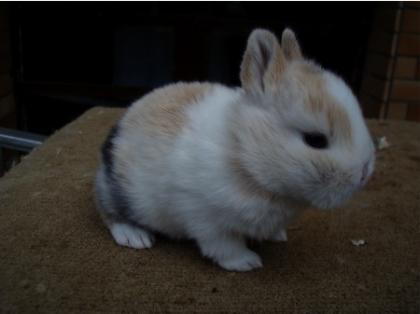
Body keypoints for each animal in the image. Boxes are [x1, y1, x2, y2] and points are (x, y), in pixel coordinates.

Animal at [94, 28, 374, 272]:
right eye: (315, 140)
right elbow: (224, 246)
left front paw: (278, 236)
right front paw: (247, 262)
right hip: (120, 193)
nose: (364, 173)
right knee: (109, 213)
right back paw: (135, 237)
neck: (242, 152)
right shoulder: (205, 218)